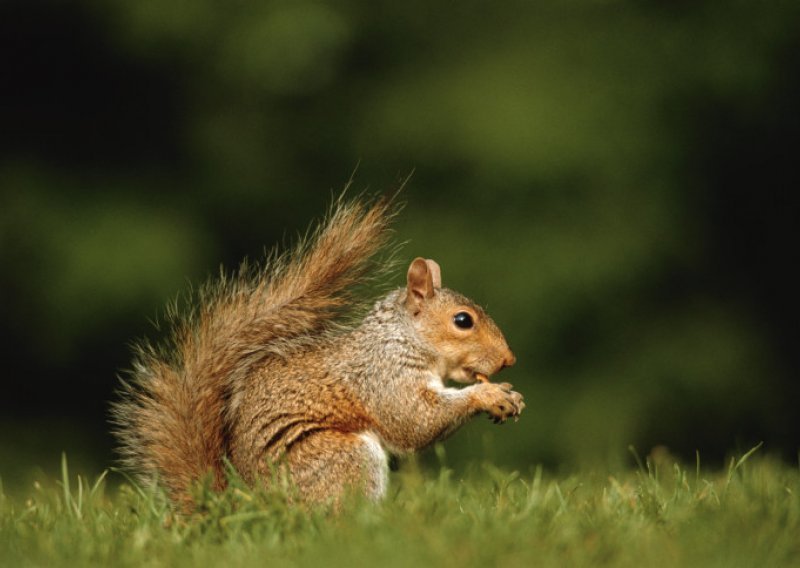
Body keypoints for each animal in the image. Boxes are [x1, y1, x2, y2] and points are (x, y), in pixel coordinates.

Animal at [112, 195, 524, 510]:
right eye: (462, 320)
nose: (509, 360)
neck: (401, 338)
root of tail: (247, 506)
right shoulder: (382, 376)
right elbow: (414, 420)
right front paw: (489, 395)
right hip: (340, 458)